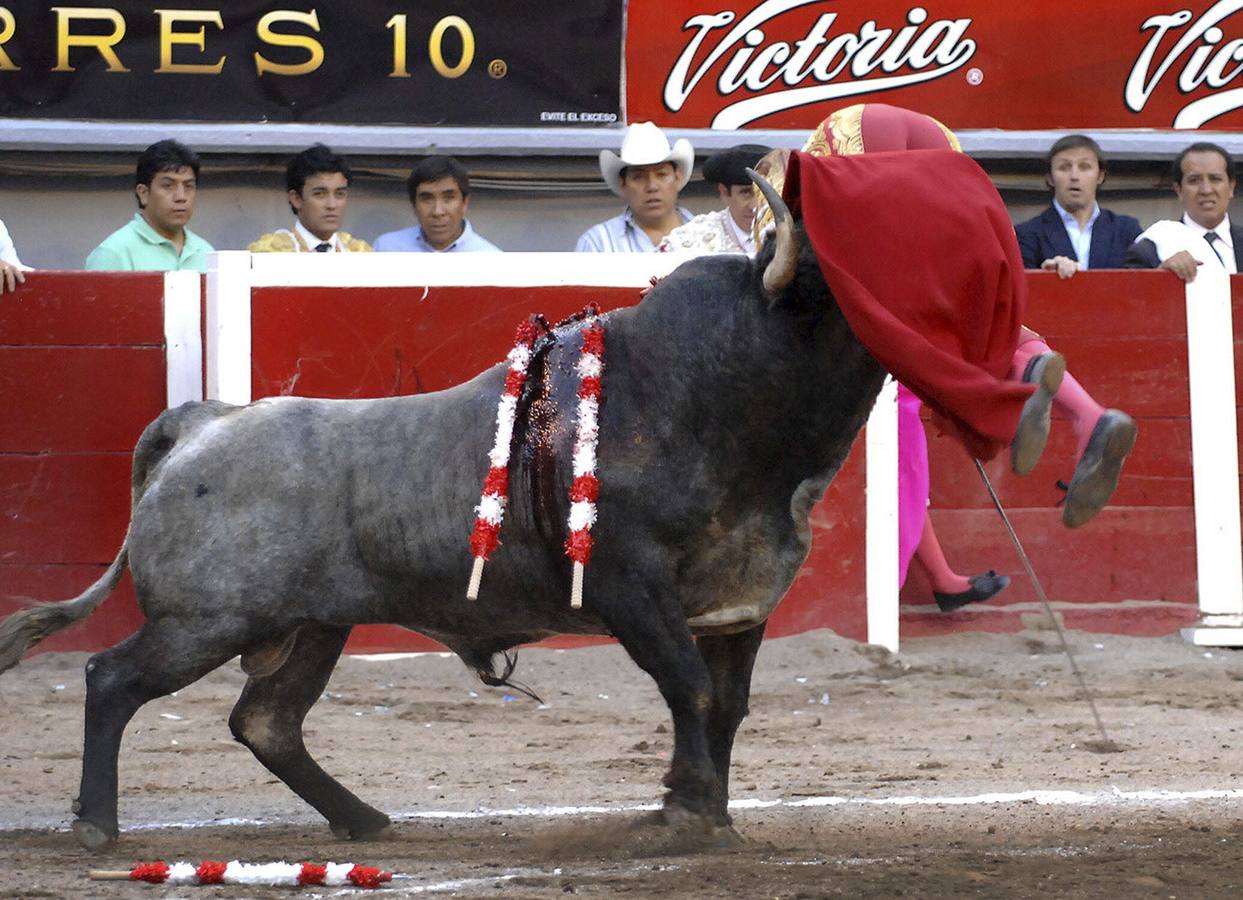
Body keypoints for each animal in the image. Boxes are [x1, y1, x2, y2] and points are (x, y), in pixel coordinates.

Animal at [0, 181, 885, 850]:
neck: (719, 391)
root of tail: (204, 422)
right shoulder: (633, 590)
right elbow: (689, 690)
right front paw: (685, 813)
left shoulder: (740, 606)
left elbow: (724, 705)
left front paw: (711, 817)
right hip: (202, 623)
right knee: (112, 678)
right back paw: (98, 825)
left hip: (312, 625)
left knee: (267, 722)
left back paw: (363, 820)